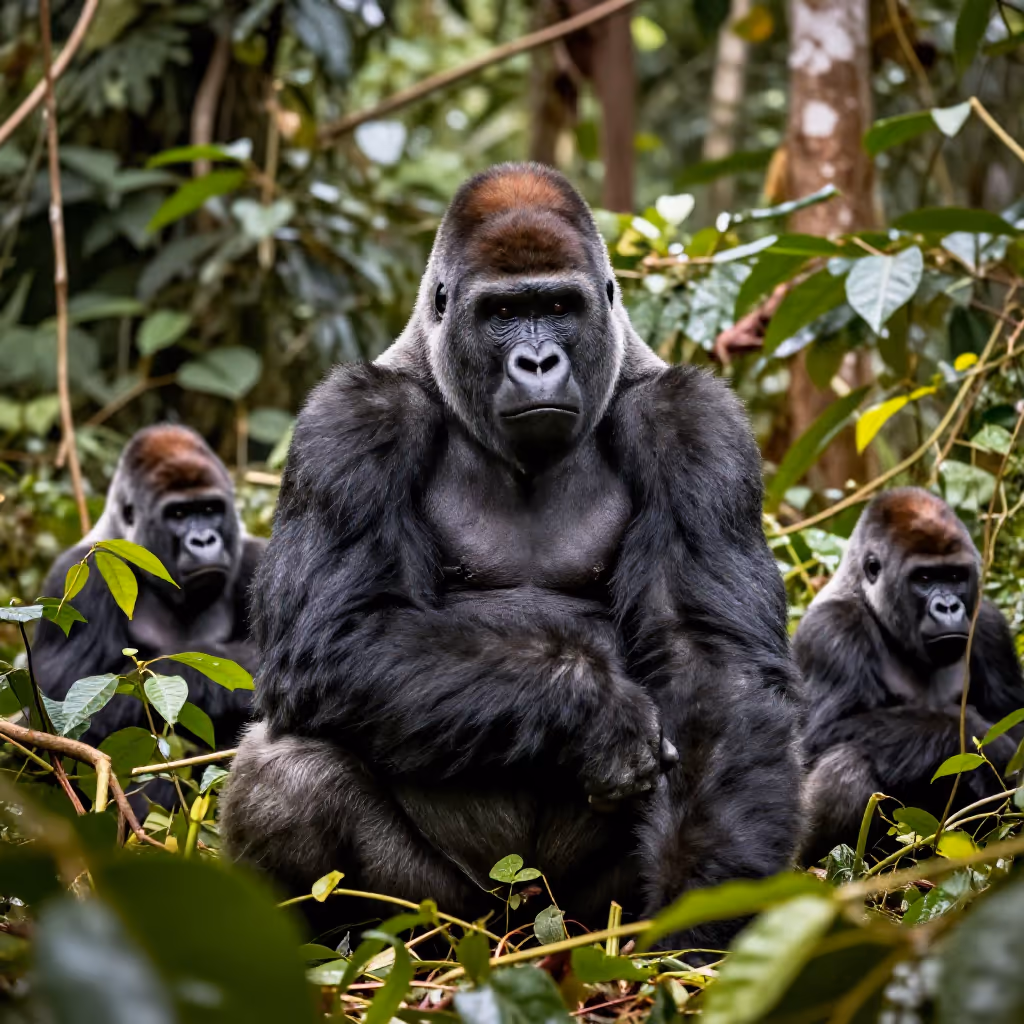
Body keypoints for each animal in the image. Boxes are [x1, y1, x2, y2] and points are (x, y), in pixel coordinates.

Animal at [33, 425, 266, 751]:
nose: (204, 540)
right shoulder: (78, 583)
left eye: (211, 509)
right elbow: (60, 705)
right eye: (178, 514)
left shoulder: (257, 559)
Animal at [221, 163, 802, 948]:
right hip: (443, 912)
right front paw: (591, 707)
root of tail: (520, 925)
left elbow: (711, 662)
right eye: (502, 314)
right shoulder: (351, 419)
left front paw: (700, 908)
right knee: (288, 772)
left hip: (576, 911)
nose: (537, 360)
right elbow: (338, 633)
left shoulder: (693, 423)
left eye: (558, 306)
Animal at [796, 487, 1024, 864]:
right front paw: (982, 738)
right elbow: (819, 736)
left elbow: (1013, 723)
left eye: (956, 576)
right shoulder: (829, 630)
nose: (948, 607)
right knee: (846, 766)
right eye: (925, 579)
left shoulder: (989, 624)